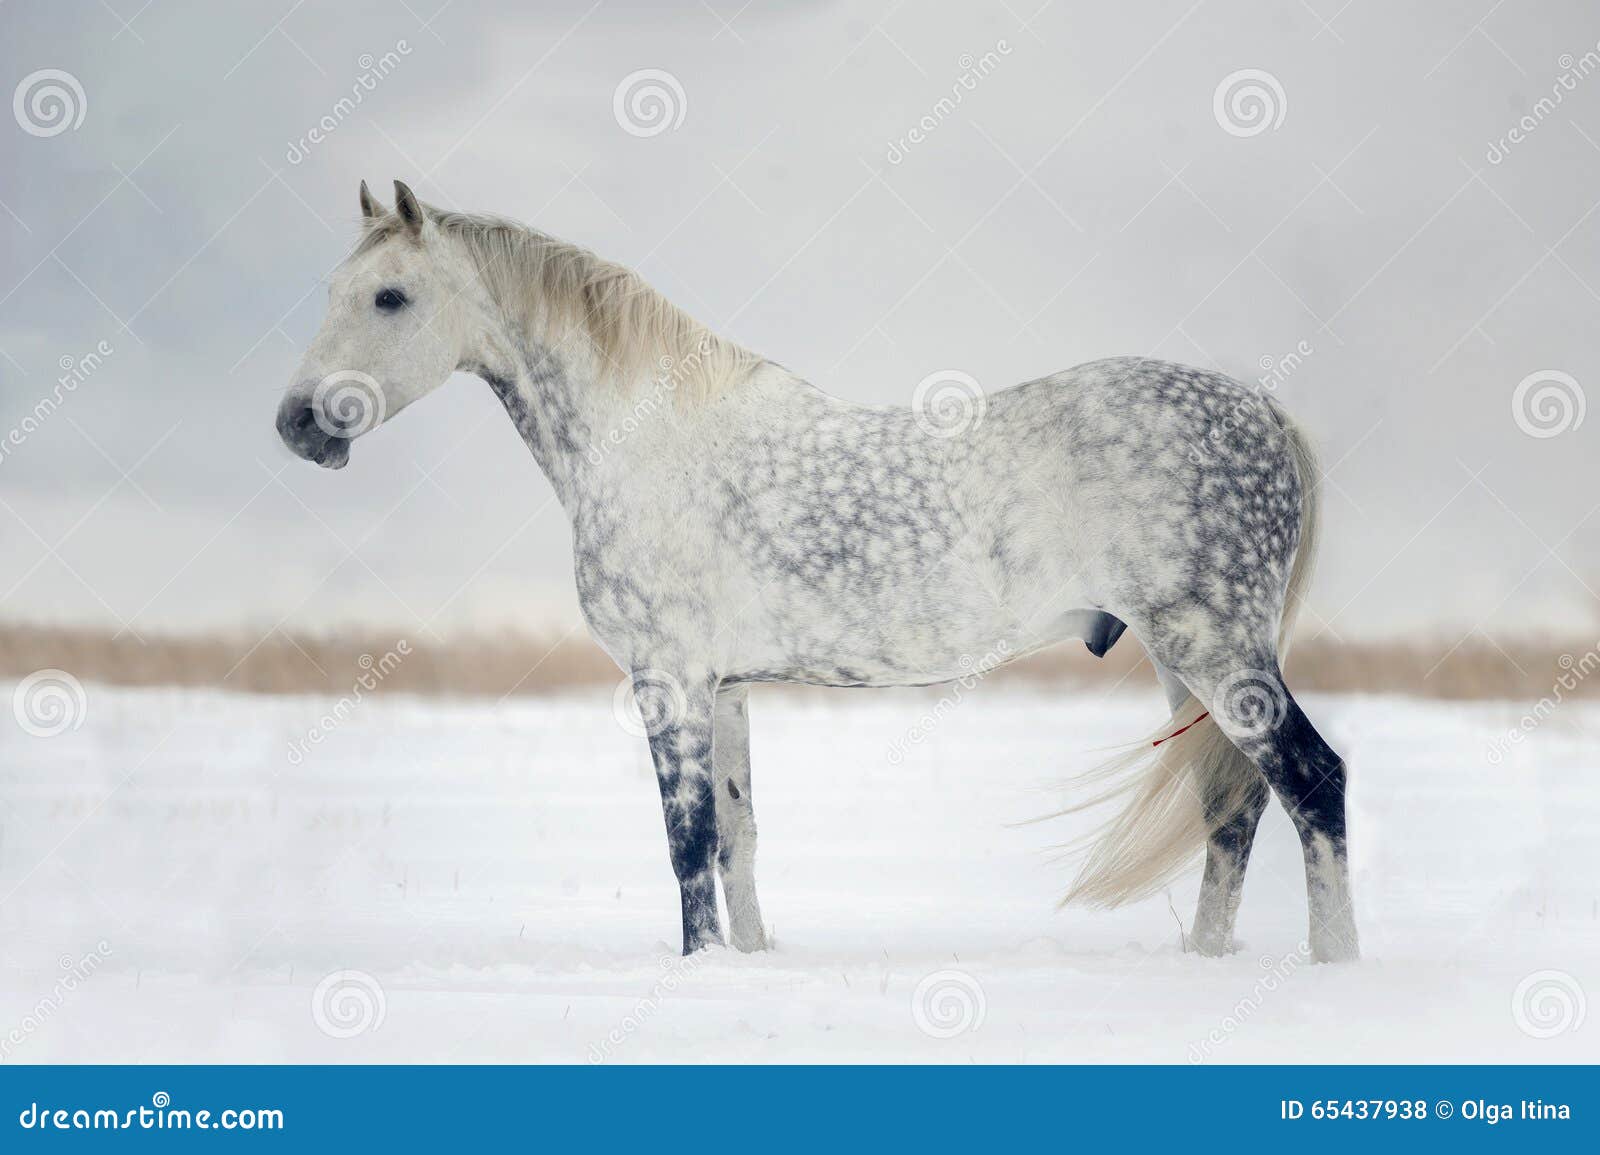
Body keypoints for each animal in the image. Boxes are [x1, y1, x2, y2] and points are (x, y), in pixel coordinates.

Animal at [278, 182, 1363, 959]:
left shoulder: (668, 680)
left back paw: (1332, 968)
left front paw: (700, 968)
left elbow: (685, 843)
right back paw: (1208, 964)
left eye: (390, 297)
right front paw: (749, 963)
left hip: (1217, 650)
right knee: (1231, 806)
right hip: (1184, 661)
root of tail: (1262, 411)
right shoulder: (724, 689)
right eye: (331, 292)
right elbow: (737, 836)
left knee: (1312, 783)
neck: (644, 439)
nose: (297, 424)